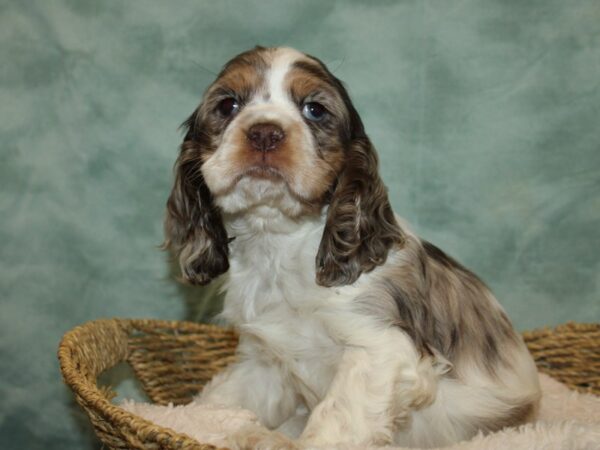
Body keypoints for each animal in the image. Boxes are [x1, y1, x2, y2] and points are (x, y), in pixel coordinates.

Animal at [163, 47, 540, 448]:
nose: (265, 132)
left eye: (315, 109)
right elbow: (222, 401)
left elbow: (335, 421)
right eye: (227, 105)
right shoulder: (263, 361)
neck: (280, 245)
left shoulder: (378, 347)